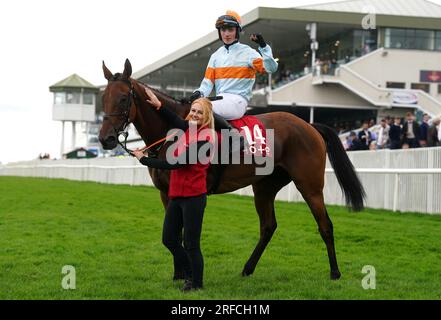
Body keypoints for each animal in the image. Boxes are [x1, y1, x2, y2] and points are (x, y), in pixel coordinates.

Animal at [99, 59, 364, 280]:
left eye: (123, 99)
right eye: (103, 98)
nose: (106, 139)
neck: (173, 130)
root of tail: (309, 125)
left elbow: (183, 234)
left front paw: (188, 275)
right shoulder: (167, 193)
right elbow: (172, 233)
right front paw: (179, 274)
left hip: (309, 185)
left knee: (325, 225)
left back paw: (335, 272)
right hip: (264, 187)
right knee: (268, 226)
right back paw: (247, 269)